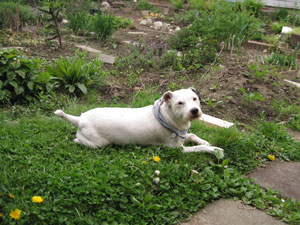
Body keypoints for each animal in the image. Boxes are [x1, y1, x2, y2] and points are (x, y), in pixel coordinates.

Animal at [54, 87, 223, 158]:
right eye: (180, 103)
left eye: (195, 99)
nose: (194, 111)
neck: (168, 117)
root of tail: (80, 118)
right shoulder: (176, 149)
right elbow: (199, 148)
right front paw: (213, 149)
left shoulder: (182, 135)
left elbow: (193, 135)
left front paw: (205, 141)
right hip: (97, 143)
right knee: (78, 140)